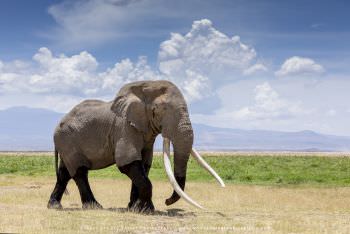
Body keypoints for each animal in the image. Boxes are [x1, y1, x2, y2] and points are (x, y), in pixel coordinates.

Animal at [47, 80, 224, 212]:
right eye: (161, 109)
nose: (167, 201)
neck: (145, 86)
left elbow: (144, 165)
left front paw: (135, 208)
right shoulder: (124, 127)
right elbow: (128, 162)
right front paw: (144, 210)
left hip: (67, 143)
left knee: (64, 172)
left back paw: (55, 206)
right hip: (67, 140)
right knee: (79, 172)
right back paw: (94, 207)